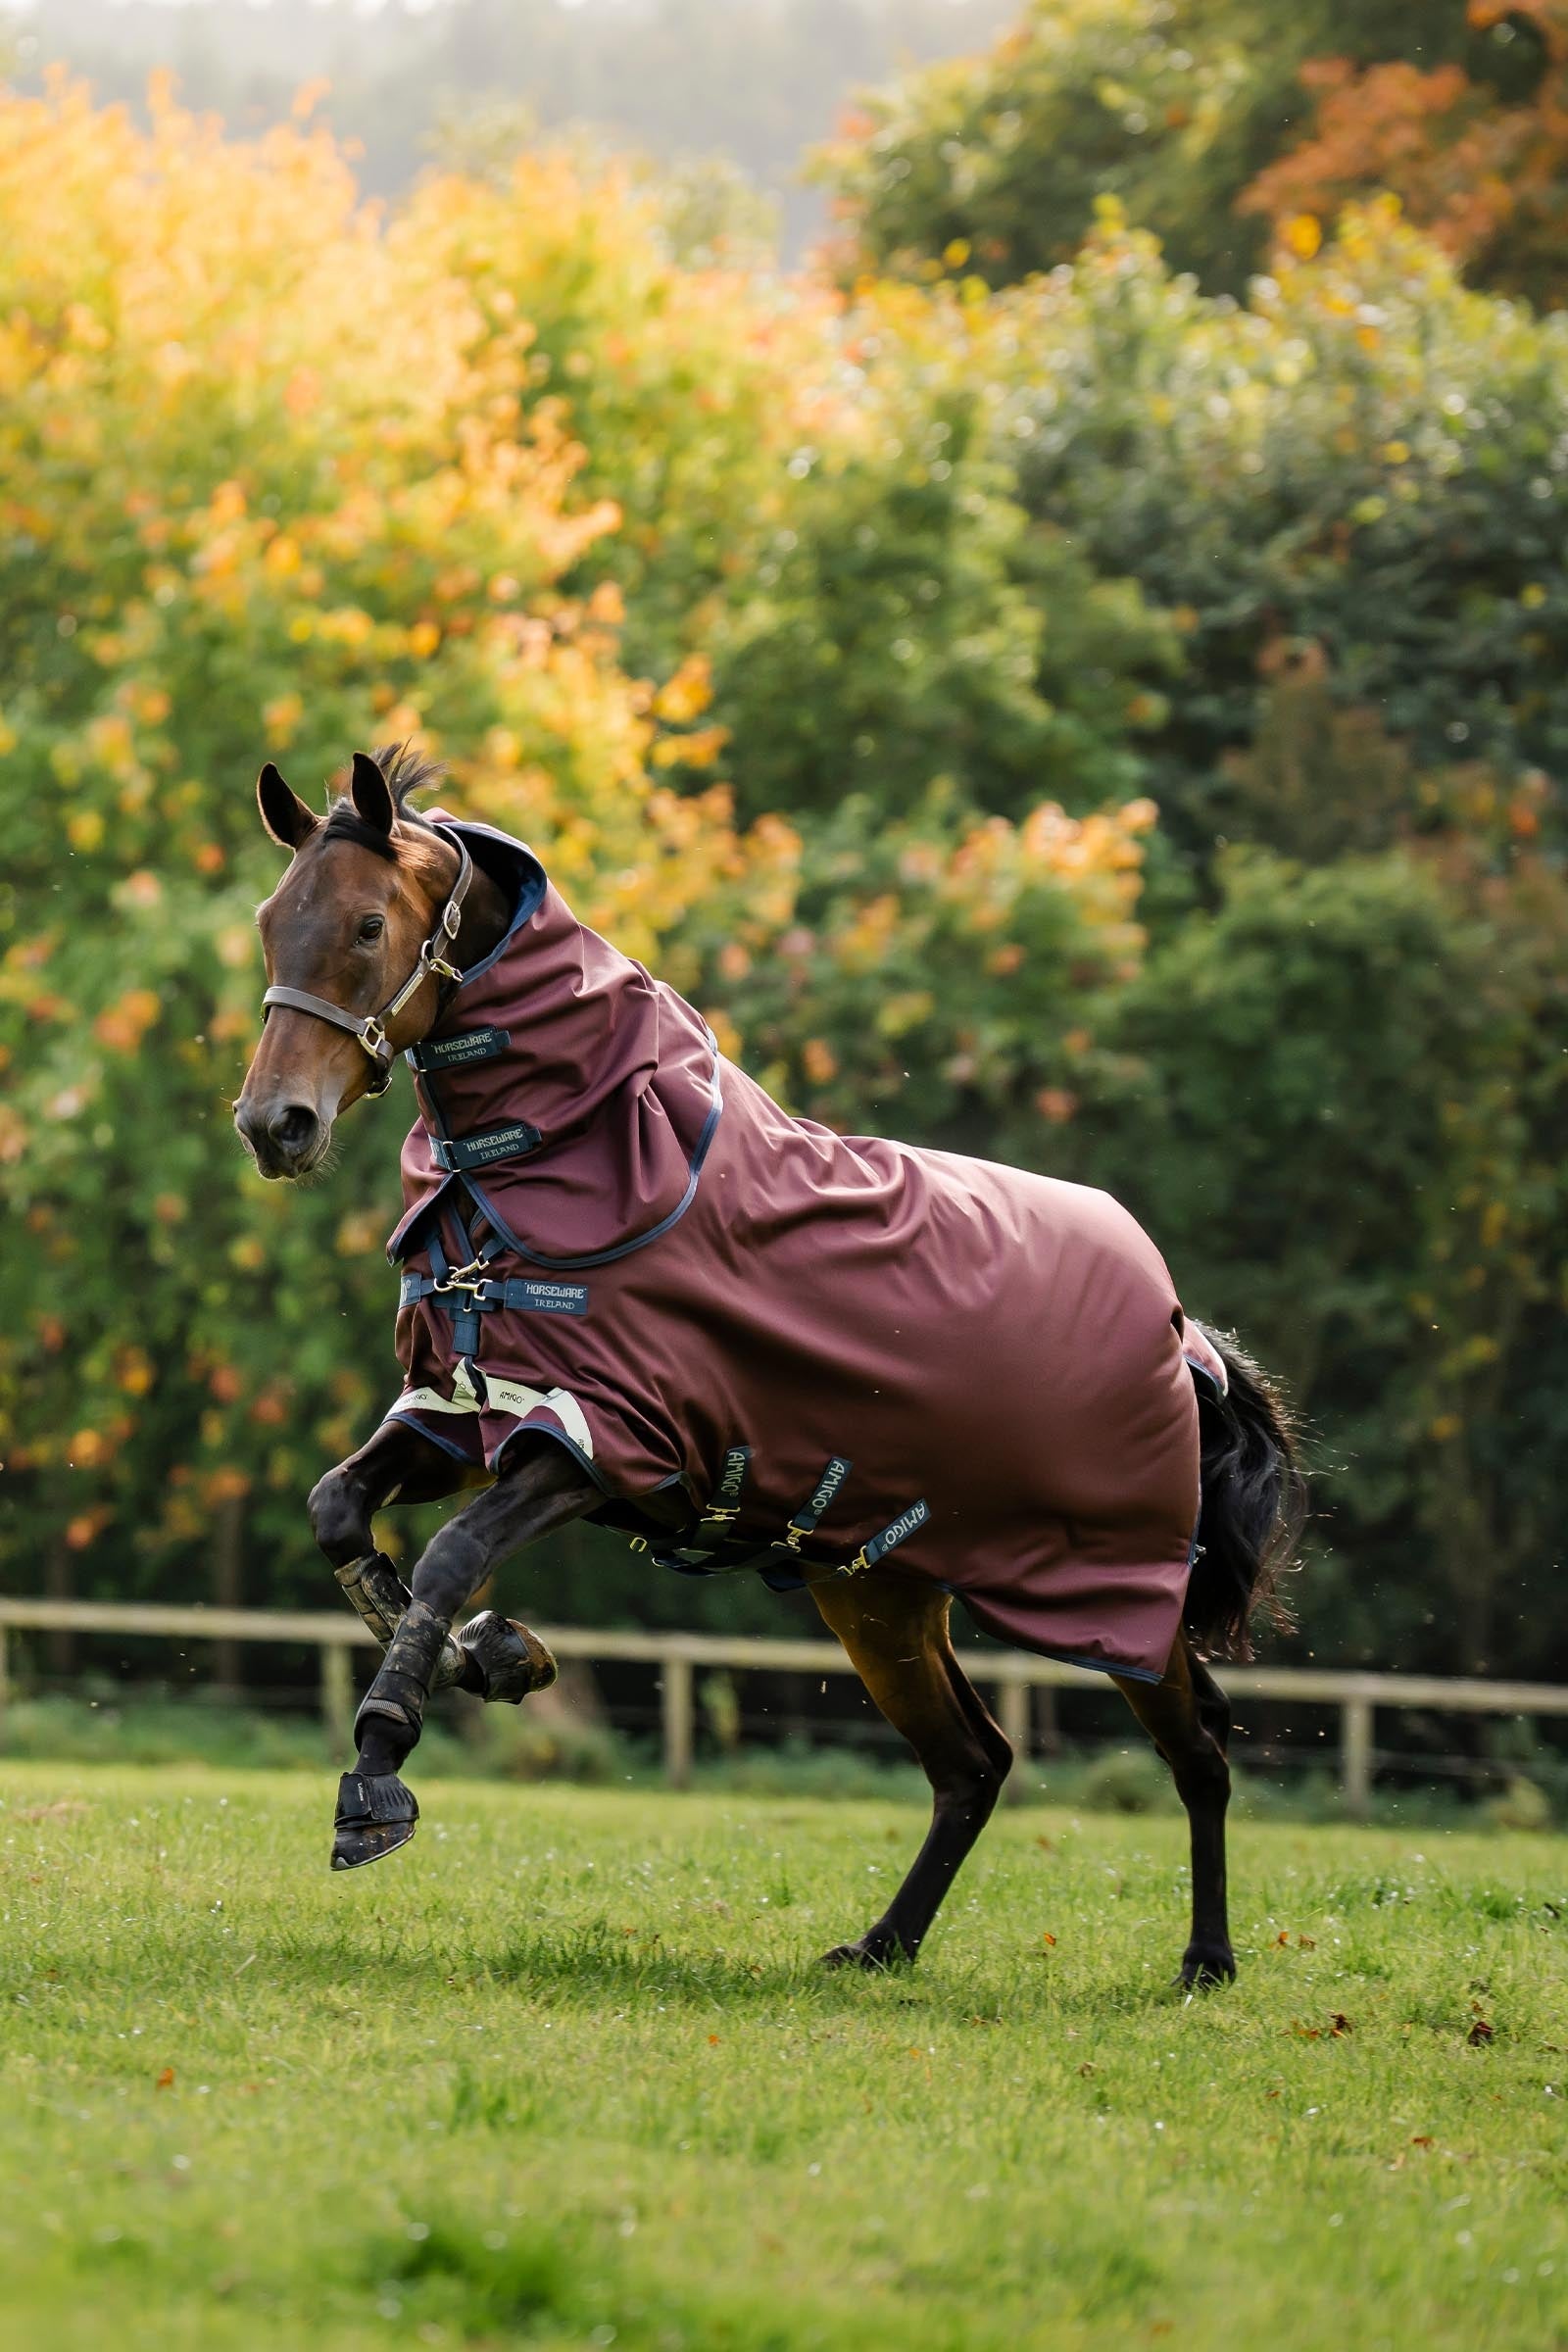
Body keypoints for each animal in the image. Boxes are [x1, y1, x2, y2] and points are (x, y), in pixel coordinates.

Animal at [234, 745, 1303, 1985]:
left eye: (366, 926)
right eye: (271, 921)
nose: (274, 1124)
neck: (572, 1161)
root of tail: (1184, 1340)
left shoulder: (605, 1446)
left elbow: (452, 1555)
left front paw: (378, 1771)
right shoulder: (468, 1414)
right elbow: (339, 1513)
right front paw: (500, 1657)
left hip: (1119, 1602)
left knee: (1200, 1748)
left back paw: (1206, 1962)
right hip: (877, 1590)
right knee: (972, 1762)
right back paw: (884, 1945)